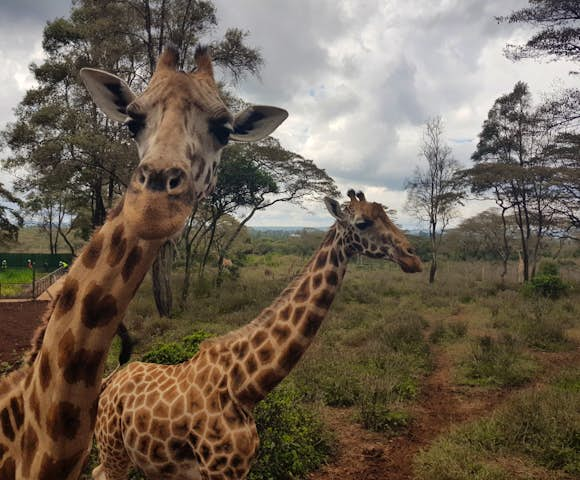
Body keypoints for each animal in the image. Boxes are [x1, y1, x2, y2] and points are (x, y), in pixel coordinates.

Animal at [93, 189, 424, 480]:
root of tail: (111, 380)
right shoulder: (218, 470)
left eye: (386, 214)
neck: (245, 387)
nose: (413, 258)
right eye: (363, 223)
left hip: (150, 462)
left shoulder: (235, 469)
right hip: (113, 448)